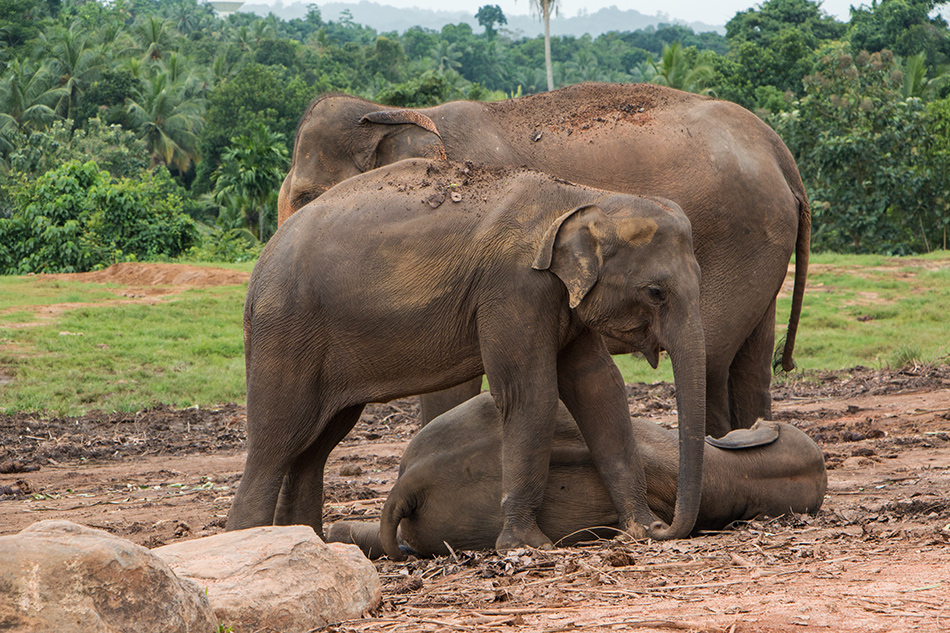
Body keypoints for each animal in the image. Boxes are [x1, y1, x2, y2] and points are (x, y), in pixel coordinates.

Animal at [227, 157, 712, 548]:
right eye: (656, 292)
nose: (666, 528)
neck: (583, 196)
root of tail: (261, 263)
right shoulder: (514, 287)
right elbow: (530, 393)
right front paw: (527, 544)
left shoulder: (562, 298)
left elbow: (600, 388)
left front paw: (638, 529)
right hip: (286, 330)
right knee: (278, 439)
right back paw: (248, 538)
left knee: (318, 443)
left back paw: (308, 539)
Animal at [278, 81, 816, 436]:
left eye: (306, 198)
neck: (396, 112)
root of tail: (779, 150)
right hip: (761, 249)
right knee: (750, 360)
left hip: (738, 237)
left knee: (712, 360)